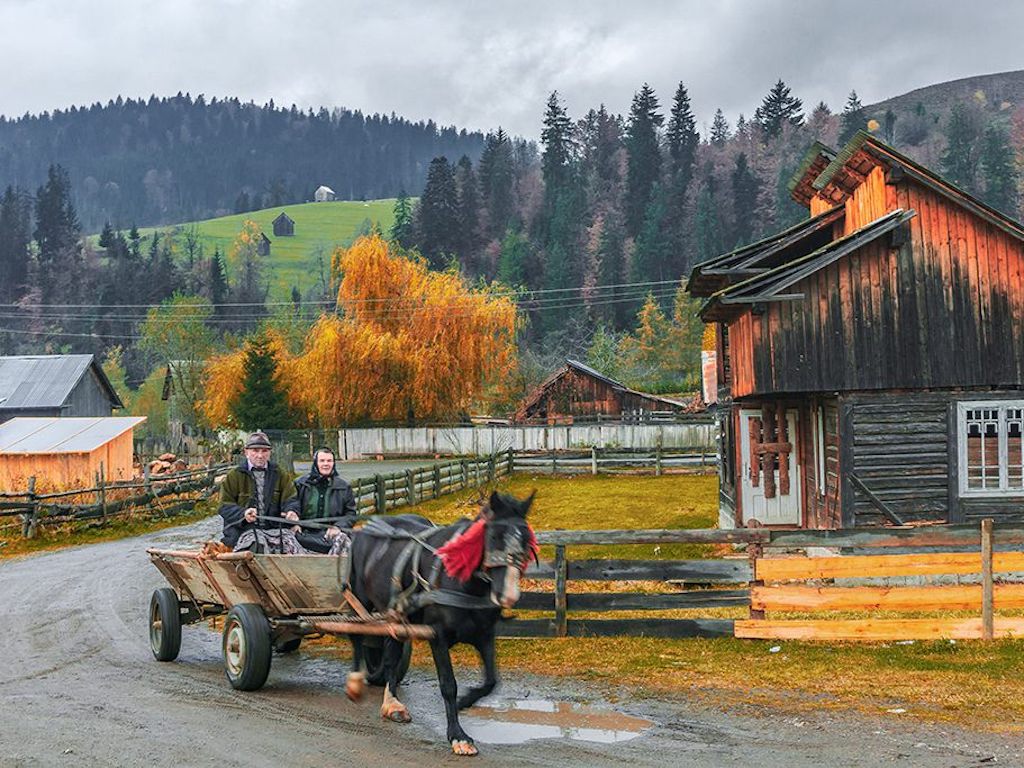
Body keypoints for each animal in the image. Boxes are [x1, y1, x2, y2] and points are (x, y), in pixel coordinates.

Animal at [344, 493, 536, 757]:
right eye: (494, 537)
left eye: (527, 540)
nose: (508, 595)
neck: (460, 580)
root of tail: (364, 529)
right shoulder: (438, 636)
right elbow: (448, 685)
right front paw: (458, 736)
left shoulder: (484, 634)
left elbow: (490, 681)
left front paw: (465, 702)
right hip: (359, 601)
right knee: (357, 636)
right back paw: (355, 682)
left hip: (395, 615)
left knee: (391, 657)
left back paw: (392, 703)